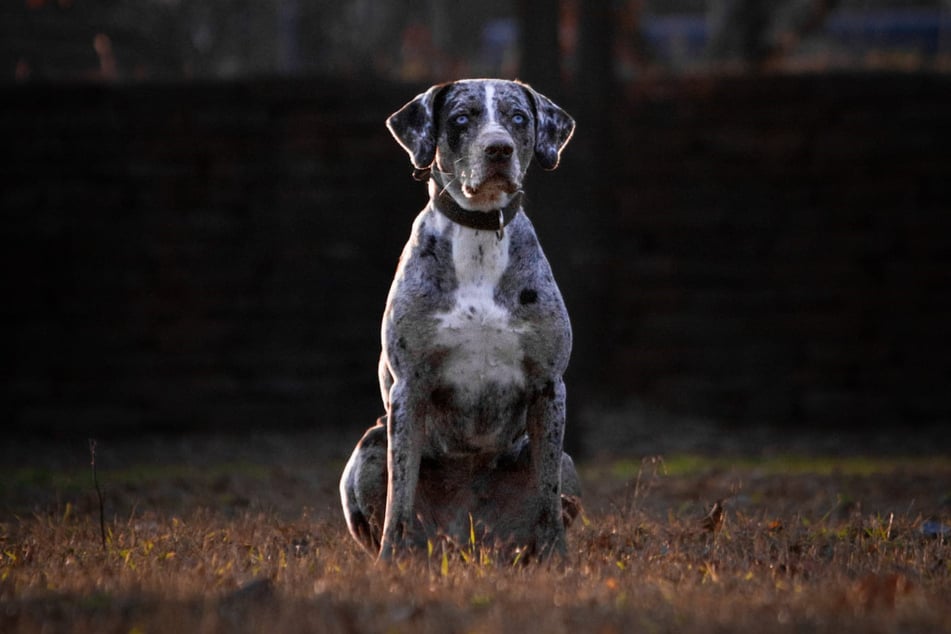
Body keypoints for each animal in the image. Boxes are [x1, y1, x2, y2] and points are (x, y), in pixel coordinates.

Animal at [340, 78, 580, 556]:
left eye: (518, 117)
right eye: (461, 118)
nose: (498, 148)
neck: (480, 234)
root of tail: (464, 536)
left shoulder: (549, 387)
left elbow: (547, 495)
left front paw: (558, 559)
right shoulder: (409, 387)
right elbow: (400, 493)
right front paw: (391, 558)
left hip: (566, 463)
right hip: (368, 447)